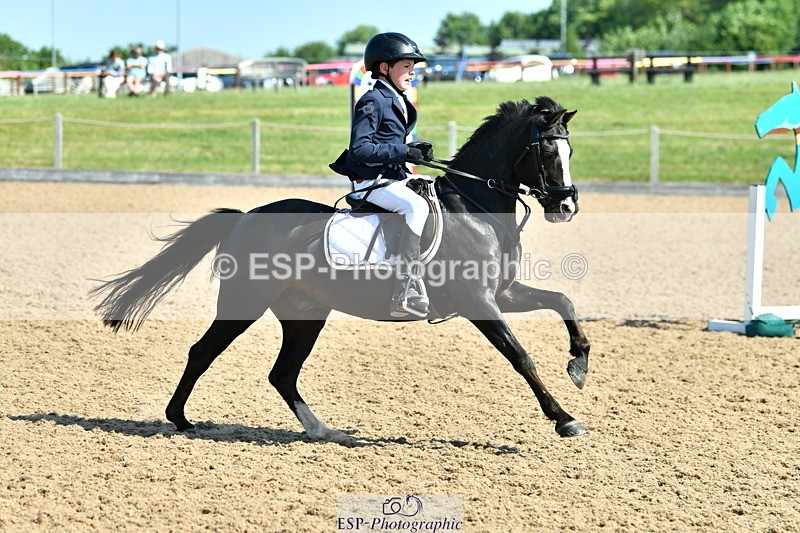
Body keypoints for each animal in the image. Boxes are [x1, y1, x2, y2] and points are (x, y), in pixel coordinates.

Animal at [90, 95, 592, 441]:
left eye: (570, 154)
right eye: (548, 153)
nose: (566, 206)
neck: (475, 206)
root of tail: (247, 216)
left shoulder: (501, 293)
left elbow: (563, 301)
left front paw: (579, 364)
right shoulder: (478, 302)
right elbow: (520, 355)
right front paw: (564, 418)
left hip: (305, 313)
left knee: (282, 374)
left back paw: (324, 431)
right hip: (245, 301)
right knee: (203, 352)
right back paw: (179, 419)